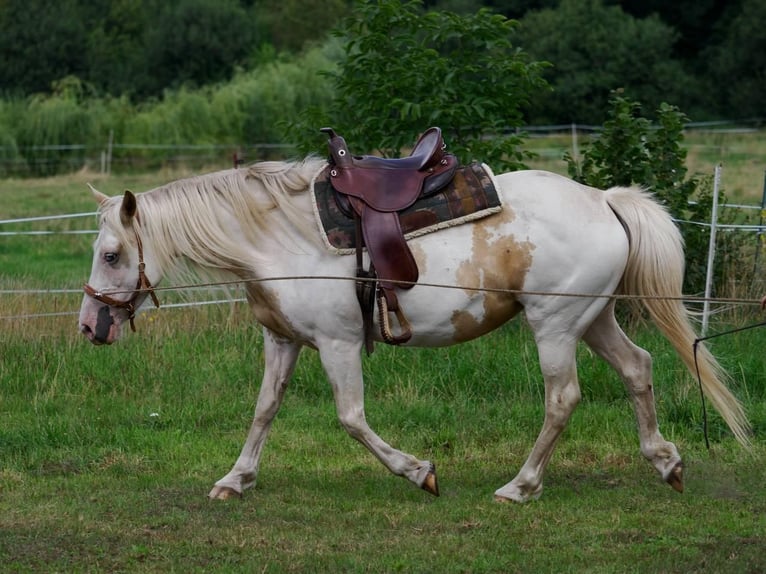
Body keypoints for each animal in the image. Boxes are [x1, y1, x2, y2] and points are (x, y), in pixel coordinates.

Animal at [78, 158, 750, 503]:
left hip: (555, 326)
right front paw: (236, 479)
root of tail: (603, 199)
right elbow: (264, 409)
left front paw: (418, 471)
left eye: (112, 254)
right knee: (638, 368)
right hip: (593, 318)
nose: (89, 326)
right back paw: (665, 462)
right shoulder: (283, 340)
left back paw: (521, 485)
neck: (281, 240)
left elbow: (351, 418)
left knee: (562, 398)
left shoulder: (339, 345)